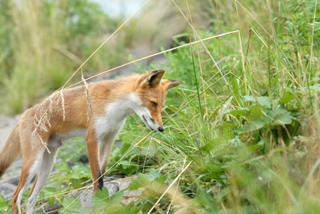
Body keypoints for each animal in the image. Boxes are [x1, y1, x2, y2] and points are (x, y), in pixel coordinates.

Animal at [0, 69, 182, 213]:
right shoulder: (92, 139)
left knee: (30, 199)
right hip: (33, 163)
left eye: (161, 106)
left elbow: (102, 172)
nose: (161, 129)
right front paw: (99, 199)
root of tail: (24, 115)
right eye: (153, 103)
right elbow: (97, 177)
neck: (114, 107)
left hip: (46, 168)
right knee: (16, 197)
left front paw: (104, 198)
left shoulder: (108, 139)